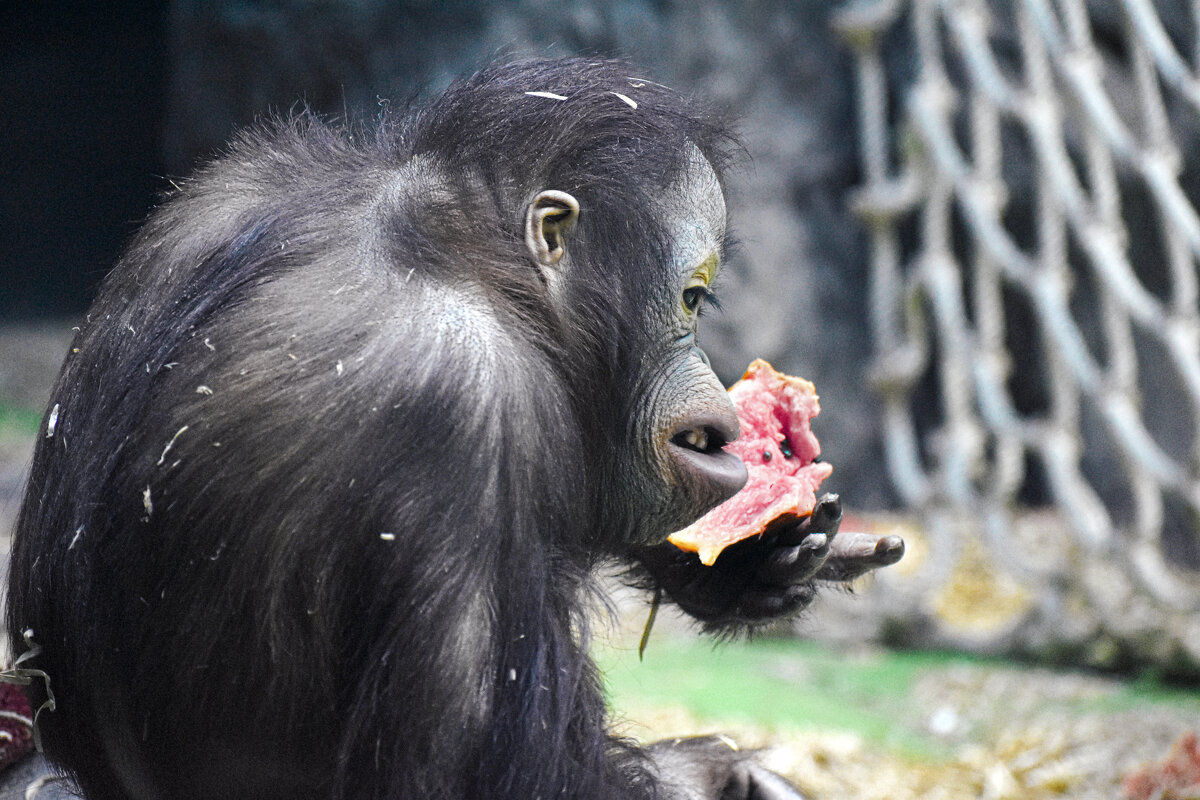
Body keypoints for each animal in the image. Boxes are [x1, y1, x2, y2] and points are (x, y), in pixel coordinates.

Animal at [2, 61, 902, 800]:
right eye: (694, 298)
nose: (715, 384)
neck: (465, 262)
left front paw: (756, 559)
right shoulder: (463, 412)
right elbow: (480, 775)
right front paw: (717, 772)